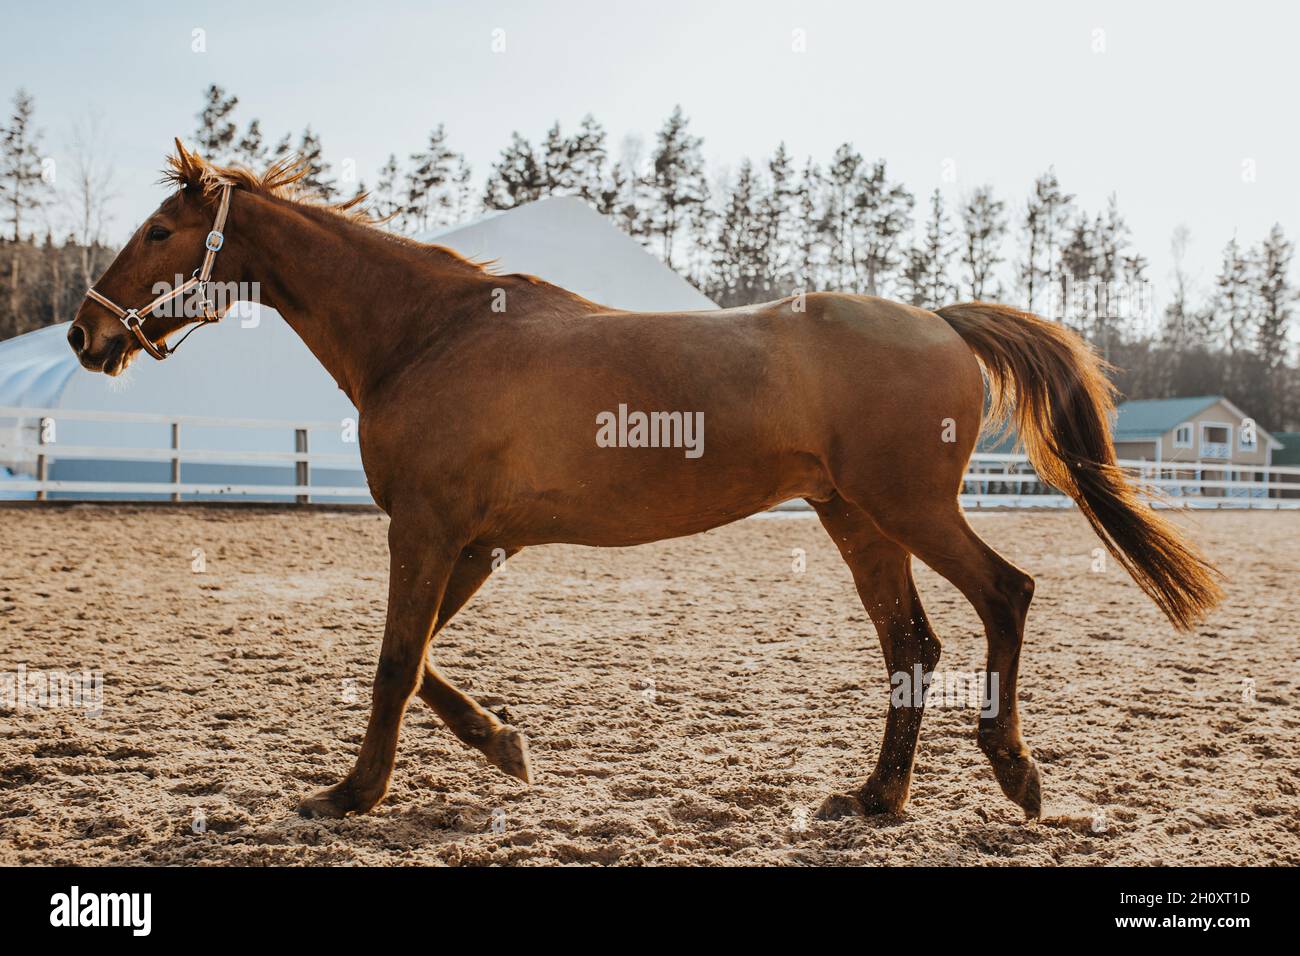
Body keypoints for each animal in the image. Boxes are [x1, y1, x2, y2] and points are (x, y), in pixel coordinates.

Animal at [67, 143, 1222, 821]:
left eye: (161, 231)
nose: (85, 333)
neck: (428, 333)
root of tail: (939, 319)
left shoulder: (429, 530)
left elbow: (396, 660)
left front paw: (354, 790)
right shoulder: (474, 539)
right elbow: (424, 655)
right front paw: (506, 747)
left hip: (909, 507)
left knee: (1004, 597)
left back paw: (1012, 769)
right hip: (856, 519)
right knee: (912, 644)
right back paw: (876, 796)